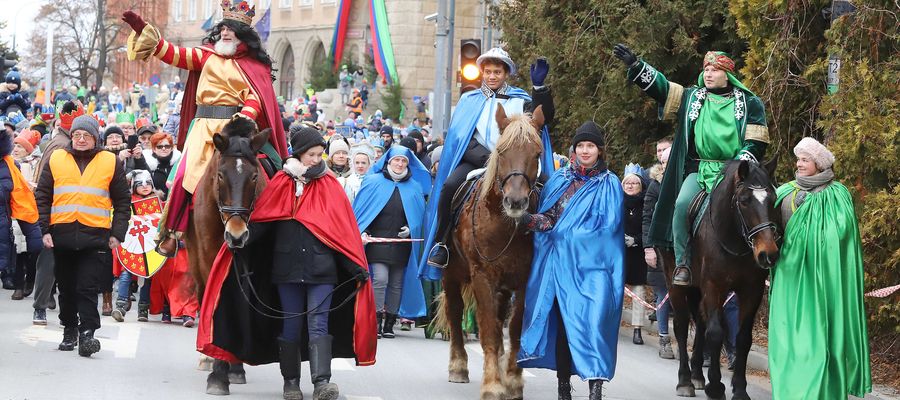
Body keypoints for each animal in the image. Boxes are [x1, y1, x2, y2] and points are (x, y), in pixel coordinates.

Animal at [181, 117, 268, 396]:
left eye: (254, 176)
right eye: (220, 175)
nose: (237, 235)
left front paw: (234, 367)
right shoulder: (209, 260)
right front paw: (218, 375)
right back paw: (208, 358)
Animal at [434, 104, 540, 400]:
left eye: (537, 153)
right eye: (501, 152)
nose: (515, 201)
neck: (505, 225)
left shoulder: (524, 279)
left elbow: (514, 328)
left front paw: (512, 380)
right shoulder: (482, 276)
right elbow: (489, 330)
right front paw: (493, 385)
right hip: (451, 274)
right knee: (455, 311)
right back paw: (458, 366)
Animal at [660, 159, 780, 400]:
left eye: (772, 199)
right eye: (744, 201)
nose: (768, 254)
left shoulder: (751, 290)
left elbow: (742, 338)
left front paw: (740, 389)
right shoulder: (714, 286)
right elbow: (716, 333)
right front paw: (716, 386)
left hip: (697, 289)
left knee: (700, 323)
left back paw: (697, 375)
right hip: (675, 282)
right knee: (681, 325)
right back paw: (685, 380)